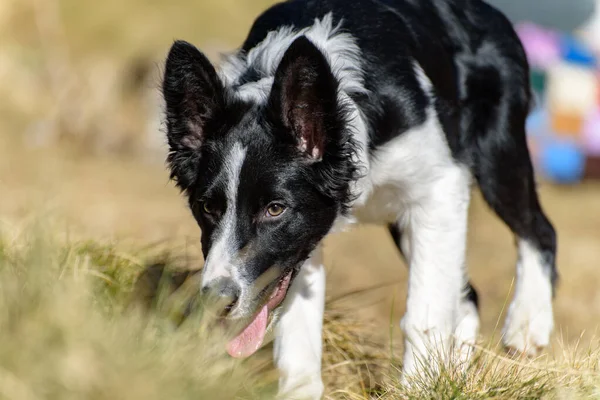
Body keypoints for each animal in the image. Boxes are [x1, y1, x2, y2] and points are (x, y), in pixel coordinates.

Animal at [161, 0, 556, 396]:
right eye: (207, 207)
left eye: (275, 209)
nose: (216, 301)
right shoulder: (305, 239)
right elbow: (297, 325)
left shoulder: (441, 186)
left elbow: (424, 311)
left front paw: (417, 388)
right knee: (468, 293)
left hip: (496, 157)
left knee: (538, 230)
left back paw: (526, 324)